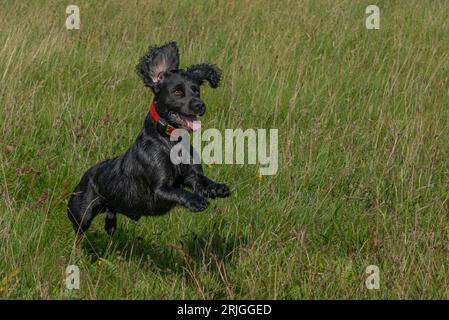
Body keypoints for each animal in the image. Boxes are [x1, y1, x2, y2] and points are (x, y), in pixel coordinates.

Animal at [68, 41, 229, 234]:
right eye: (177, 92)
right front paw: (195, 201)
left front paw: (218, 187)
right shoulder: (159, 190)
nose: (200, 105)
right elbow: (180, 192)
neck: (171, 142)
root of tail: (86, 175)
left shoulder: (192, 176)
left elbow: (202, 181)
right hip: (81, 214)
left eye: (196, 90)